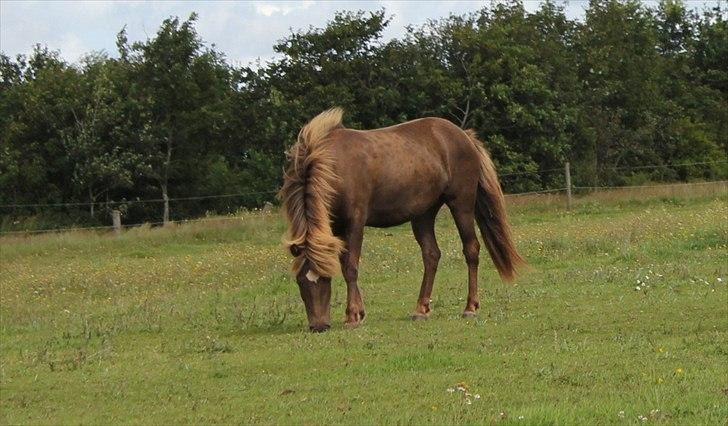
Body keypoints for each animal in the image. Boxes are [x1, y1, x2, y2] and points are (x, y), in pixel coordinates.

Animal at [278, 108, 524, 332]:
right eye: (300, 281)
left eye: (325, 278)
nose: (318, 326)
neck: (332, 165)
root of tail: (463, 135)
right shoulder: (335, 226)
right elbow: (345, 263)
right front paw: (360, 312)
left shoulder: (355, 222)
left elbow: (350, 266)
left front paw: (352, 316)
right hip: (423, 213)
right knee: (431, 255)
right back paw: (421, 309)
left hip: (461, 204)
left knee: (471, 249)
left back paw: (470, 307)